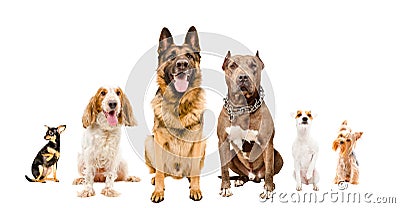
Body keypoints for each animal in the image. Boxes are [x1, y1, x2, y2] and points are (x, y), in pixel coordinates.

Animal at [145, 26, 206, 203]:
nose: (182, 64)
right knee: (161, 172)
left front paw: (195, 189)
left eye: (189, 56)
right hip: (149, 141)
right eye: (171, 57)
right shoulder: (158, 142)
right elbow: (159, 172)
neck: (178, 104)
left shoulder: (197, 141)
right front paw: (158, 192)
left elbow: (195, 171)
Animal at [217, 50, 282, 200]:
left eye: (253, 65)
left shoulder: (267, 143)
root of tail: (254, 176)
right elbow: (224, 169)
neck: (243, 108)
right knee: (242, 174)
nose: (243, 77)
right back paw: (240, 179)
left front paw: (268, 190)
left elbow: (269, 169)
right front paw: (225, 188)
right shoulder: (222, 141)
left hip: (278, 156)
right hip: (232, 155)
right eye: (232, 65)